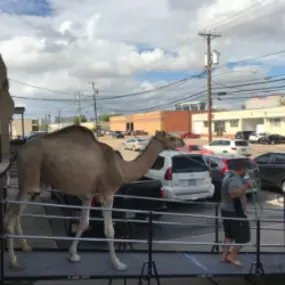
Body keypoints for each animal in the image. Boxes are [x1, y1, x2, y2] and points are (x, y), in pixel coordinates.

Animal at [2, 125, 176, 270]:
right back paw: (14, 262)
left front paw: (73, 255)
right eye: (172, 137)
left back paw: (26, 247)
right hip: (30, 179)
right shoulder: (107, 194)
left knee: (15, 214)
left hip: (32, 186)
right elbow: (109, 230)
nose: (180, 141)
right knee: (10, 217)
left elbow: (83, 223)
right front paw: (117, 263)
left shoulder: (87, 196)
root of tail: (18, 152)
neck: (121, 168)